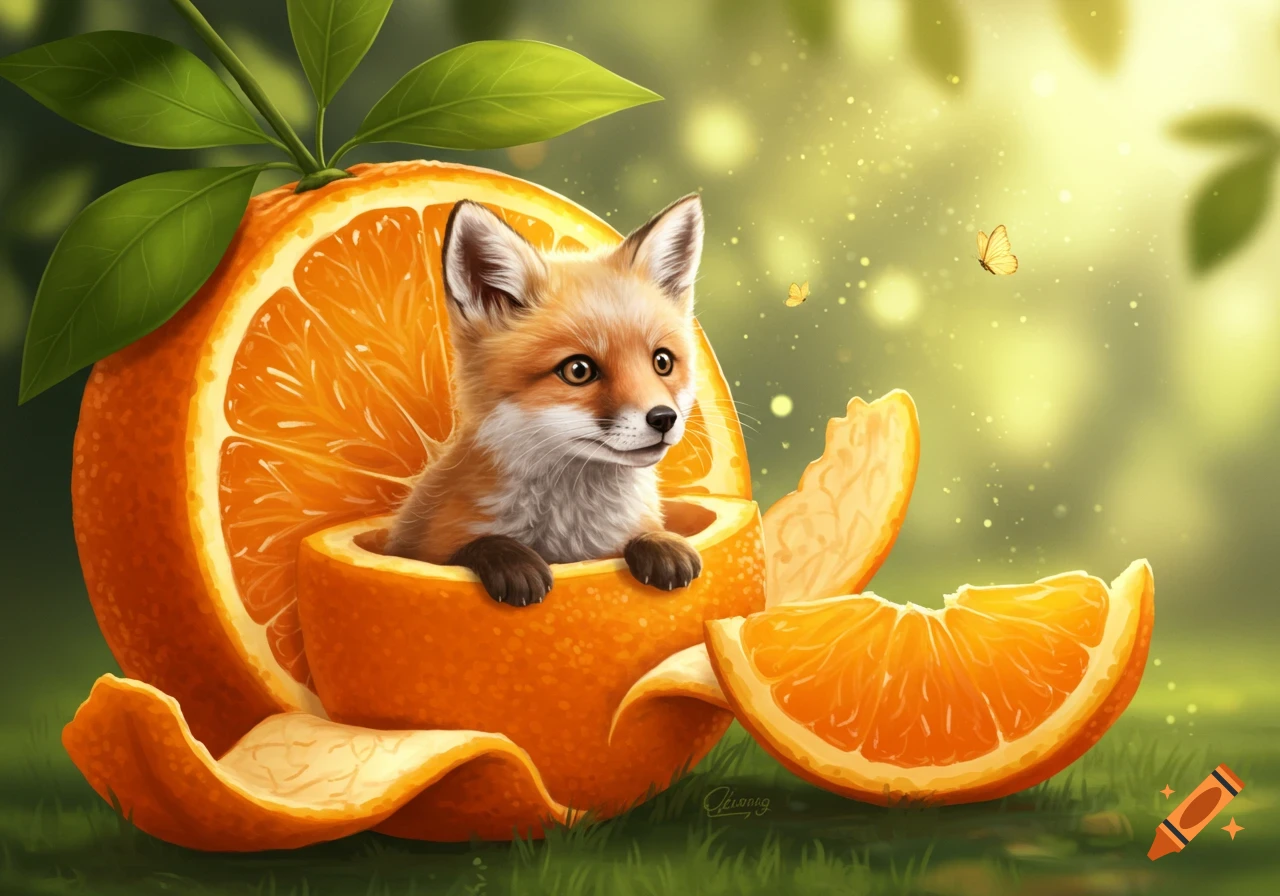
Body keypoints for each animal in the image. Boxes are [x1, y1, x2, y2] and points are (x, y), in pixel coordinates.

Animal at [384, 193, 707, 607]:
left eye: (662, 362)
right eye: (578, 370)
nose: (664, 418)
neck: (568, 532)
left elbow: (642, 535)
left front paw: (661, 544)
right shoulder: (423, 546)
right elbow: (472, 546)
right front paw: (512, 562)